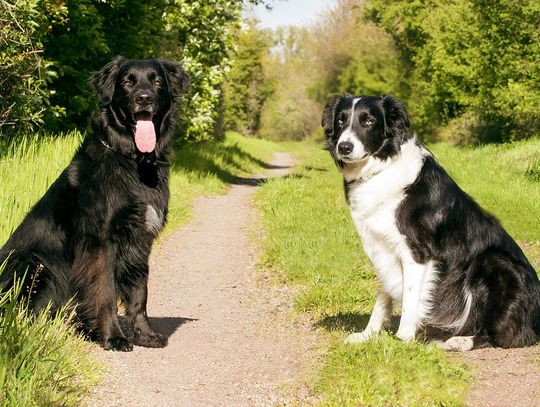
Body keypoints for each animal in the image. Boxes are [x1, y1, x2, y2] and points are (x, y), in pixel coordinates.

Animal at [0, 56, 190, 350]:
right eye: (127, 82)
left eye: (157, 81)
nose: (144, 98)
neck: (132, 162)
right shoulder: (100, 242)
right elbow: (105, 292)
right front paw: (113, 336)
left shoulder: (140, 241)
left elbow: (140, 293)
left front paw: (145, 335)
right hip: (34, 263)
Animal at [322, 95, 536, 350]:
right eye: (341, 120)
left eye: (368, 121)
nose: (344, 147)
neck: (381, 167)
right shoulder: (384, 247)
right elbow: (383, 295)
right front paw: (368, 335)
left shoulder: (417, 252)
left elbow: (410, 299)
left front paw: (402, 340)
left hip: (494, 261)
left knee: (506, 334)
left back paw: (462, 341)